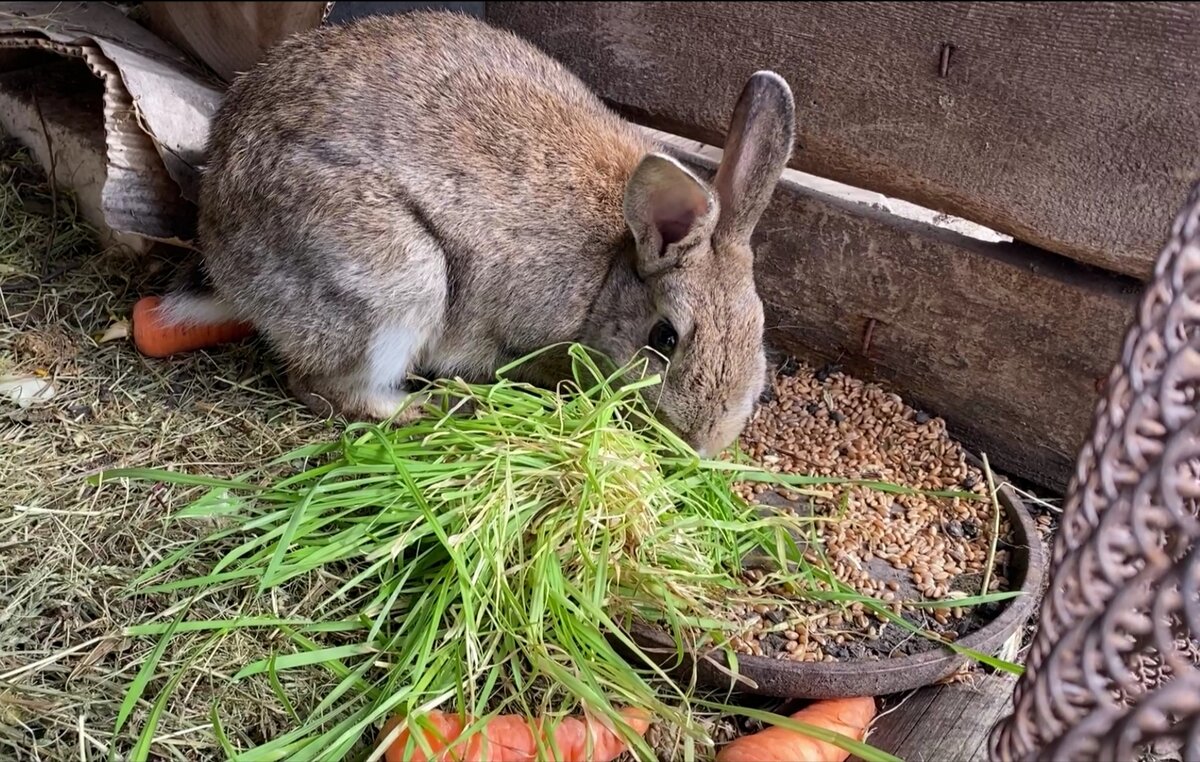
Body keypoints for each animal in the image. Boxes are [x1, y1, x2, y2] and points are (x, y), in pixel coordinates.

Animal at [157, 10, 796, 458]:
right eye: (664, 338)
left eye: (759, 333)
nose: (703, 443)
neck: (616, 268)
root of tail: (220, 242)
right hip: (396, 285)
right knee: (324, 384)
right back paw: (430, 406)